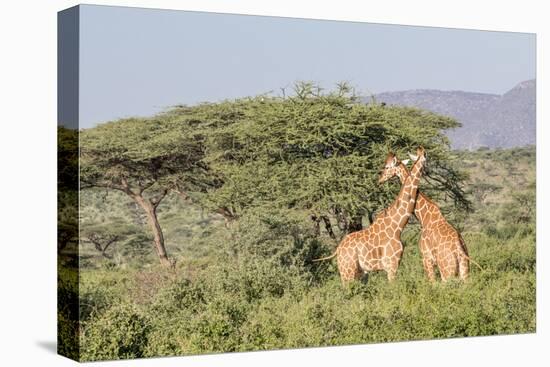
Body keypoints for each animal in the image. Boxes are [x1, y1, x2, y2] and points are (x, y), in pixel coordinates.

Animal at [314, 145, 426, 284]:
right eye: (386, 167)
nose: (380, 179)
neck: (398, 226)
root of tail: (338, 250)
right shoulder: (391, 266)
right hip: (347, 272)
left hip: (356, 272)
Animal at [380, 152, 478, 282]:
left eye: (386, 167)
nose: (380, 179)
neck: (424, 216)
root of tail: (459, 251)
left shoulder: (426, 258)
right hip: (465, 272)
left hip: (447, 272)